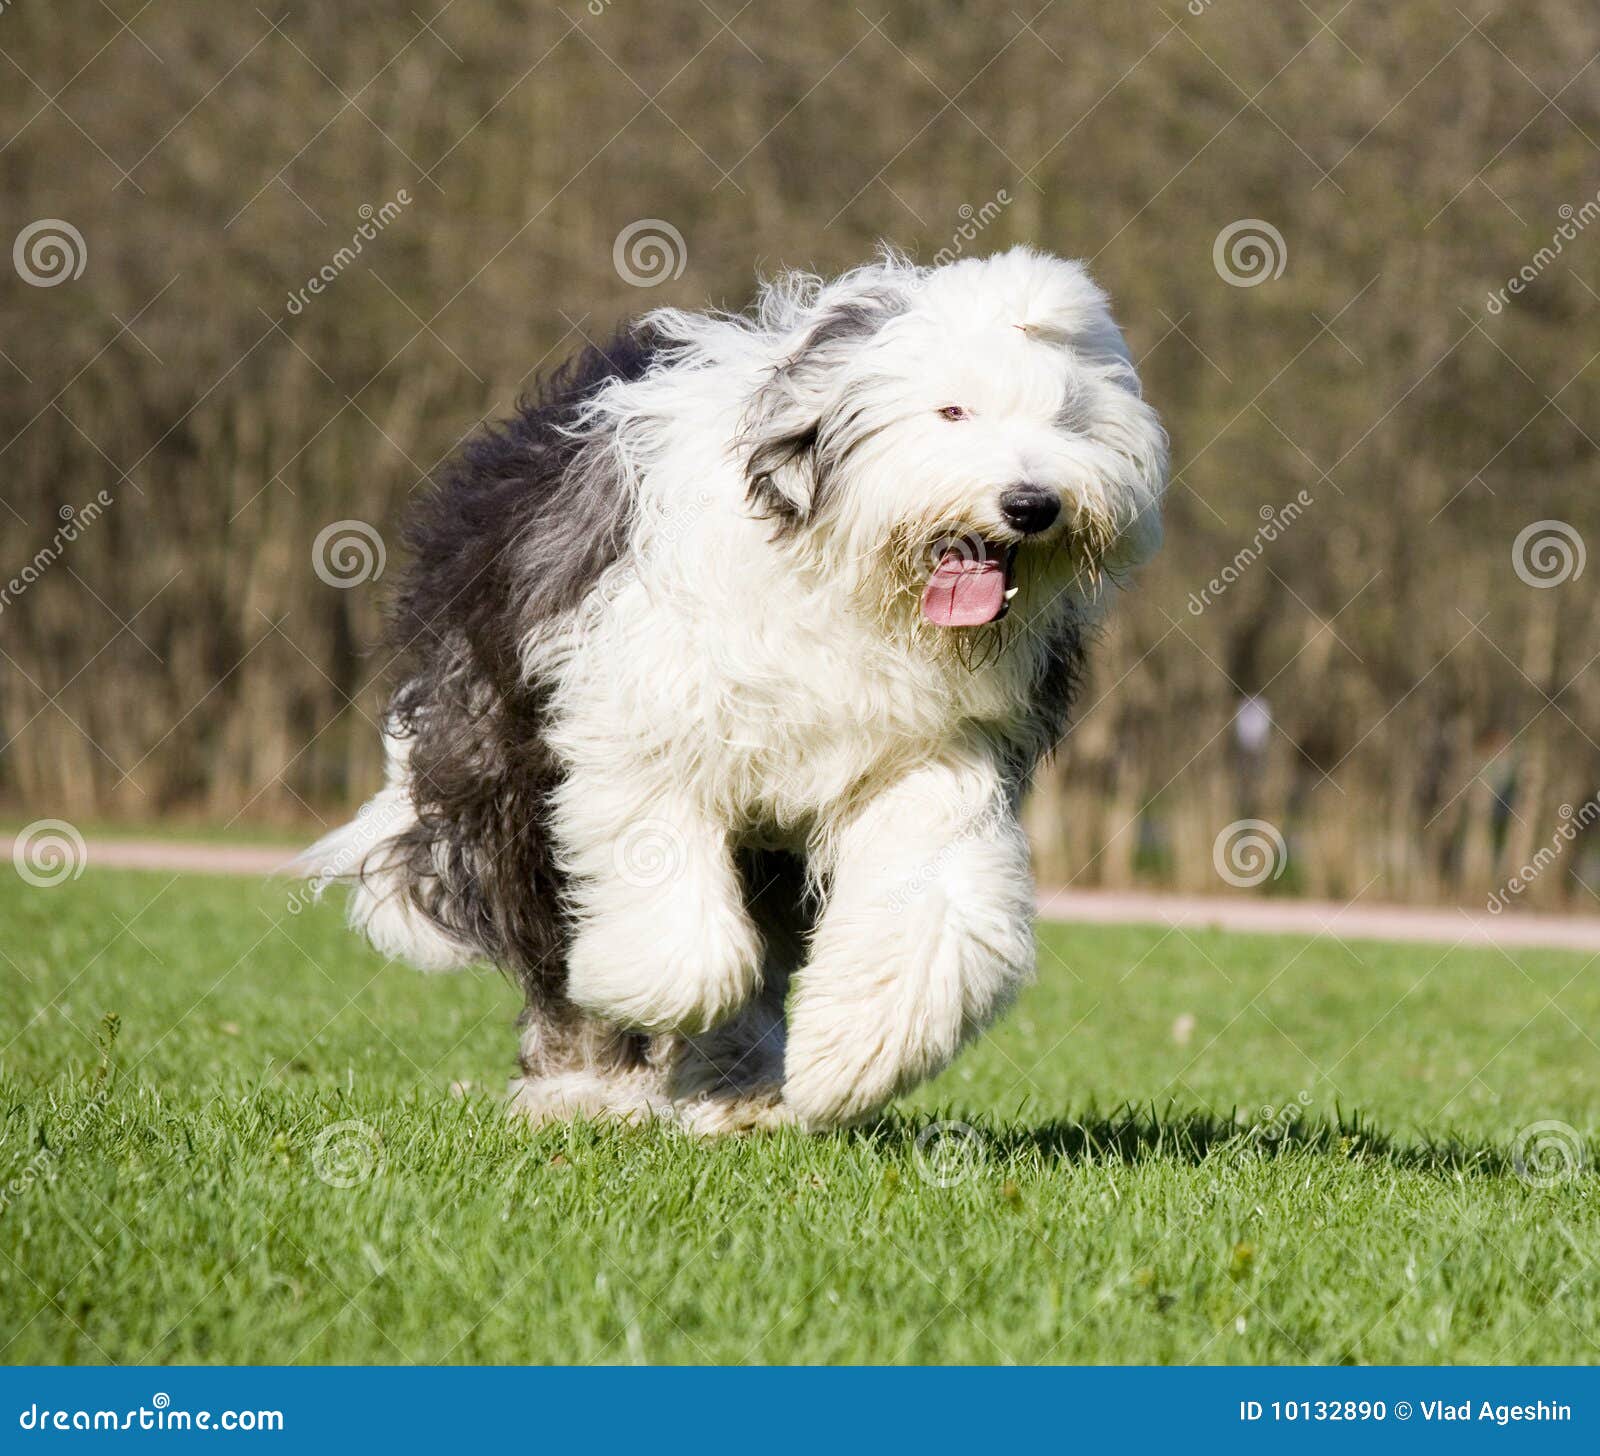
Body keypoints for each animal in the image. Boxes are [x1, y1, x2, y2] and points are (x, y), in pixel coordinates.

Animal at [305, 244, 1171, 1132]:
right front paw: (655, 994)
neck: (846, 583)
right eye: (952, 411)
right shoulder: (643, 723)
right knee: (553, 944)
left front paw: (853, 1058)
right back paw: (586, 1087)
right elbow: (677, 937)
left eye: (1071, 419)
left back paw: (739, 1091)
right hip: (505, 766)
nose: (1032, 504)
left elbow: (929, 910)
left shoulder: (927, 756)